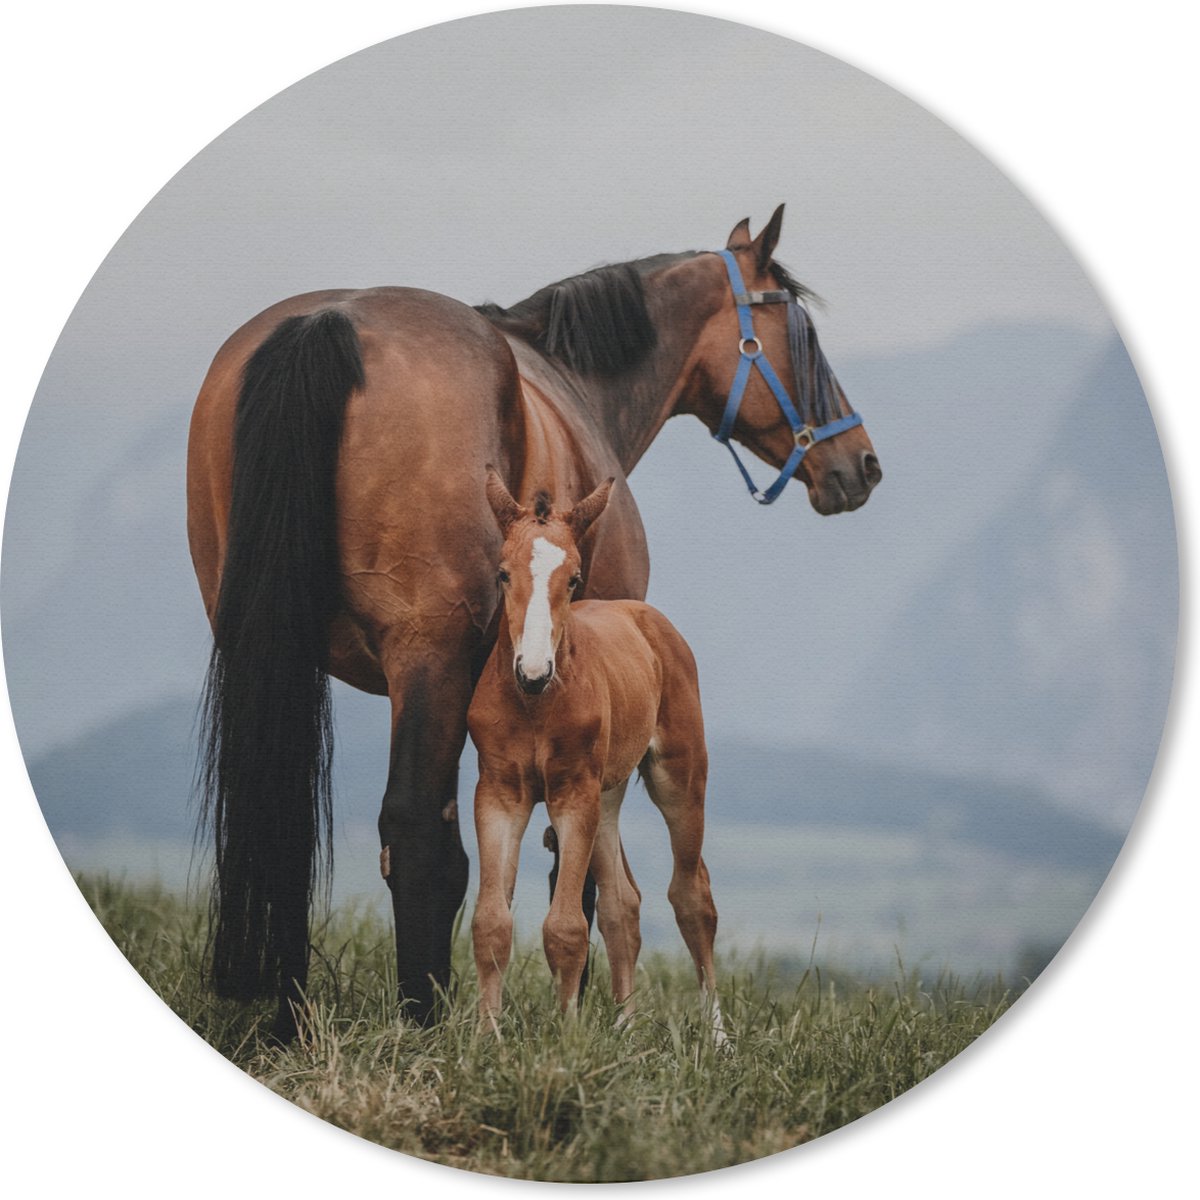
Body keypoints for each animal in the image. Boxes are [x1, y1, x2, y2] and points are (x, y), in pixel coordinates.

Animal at [469, 470, 723, 1040]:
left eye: (574, 580)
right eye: (502, 574)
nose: (532, 671)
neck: (534, 706)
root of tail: (647, 617)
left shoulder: (571, 794)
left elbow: (566, 927)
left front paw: (566, 1040)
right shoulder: (499, 793)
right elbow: (491, 922)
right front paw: (486, 1038)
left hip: (678, 778)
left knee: (692, 896)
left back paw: (720, 1038)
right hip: (607, 796)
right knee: (621, 906)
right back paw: (625, 1029)